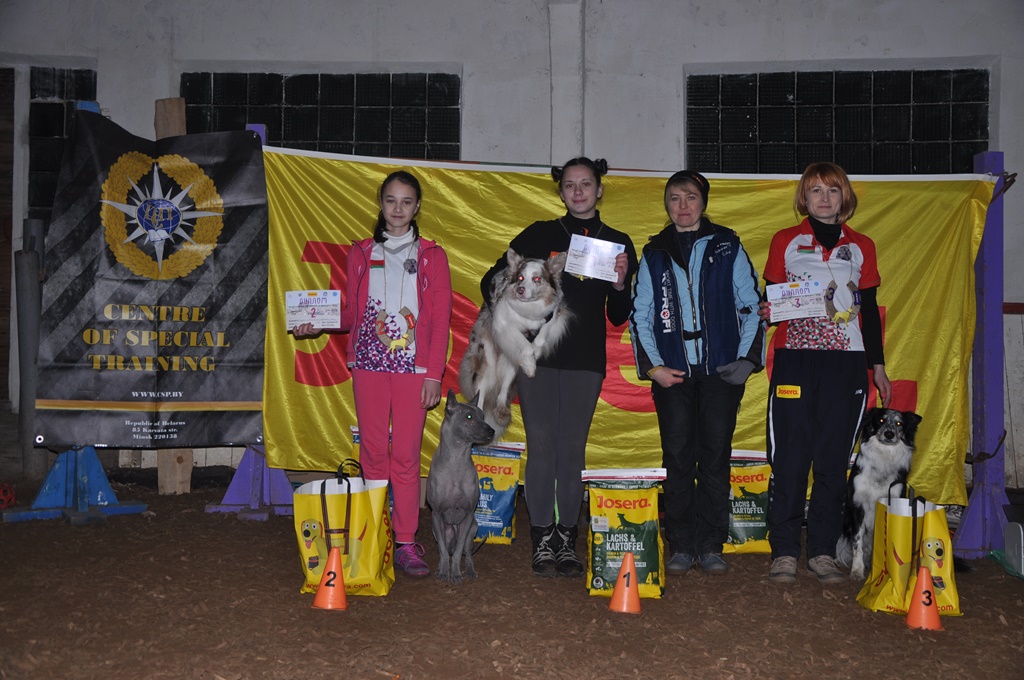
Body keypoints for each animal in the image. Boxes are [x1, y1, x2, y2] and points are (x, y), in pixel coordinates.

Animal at [426, 389, 495, 584]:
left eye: (482, 416)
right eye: (469, 417)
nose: (491, 431)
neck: (456, 461)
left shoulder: (468, 516)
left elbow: (457, 554)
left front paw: (456, 573)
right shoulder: (436, 515)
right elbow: (443, 551)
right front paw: (444, 572)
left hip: (472, 528)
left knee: (466, 552)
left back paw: (470, 570)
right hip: (439, 530)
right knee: (445, 549)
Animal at [459, 248, 572, 439]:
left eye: (537, 279)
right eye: (520, 277)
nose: (520, 290)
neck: (531, 307)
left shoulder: (553, 315)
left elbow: (541, 337)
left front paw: (535, 355)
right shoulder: (504, 322)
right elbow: (525, 345)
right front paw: (531, 364)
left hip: (510, 363)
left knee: (502, 391)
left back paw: (502, 409)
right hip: (486, 363)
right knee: (480, 392)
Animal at [836, 408, 922, 581]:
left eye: (899, 423)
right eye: (881, 421)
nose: (889, 434)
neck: (884, 457)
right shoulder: (858, 507)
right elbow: (857, 543)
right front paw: (857, 570)